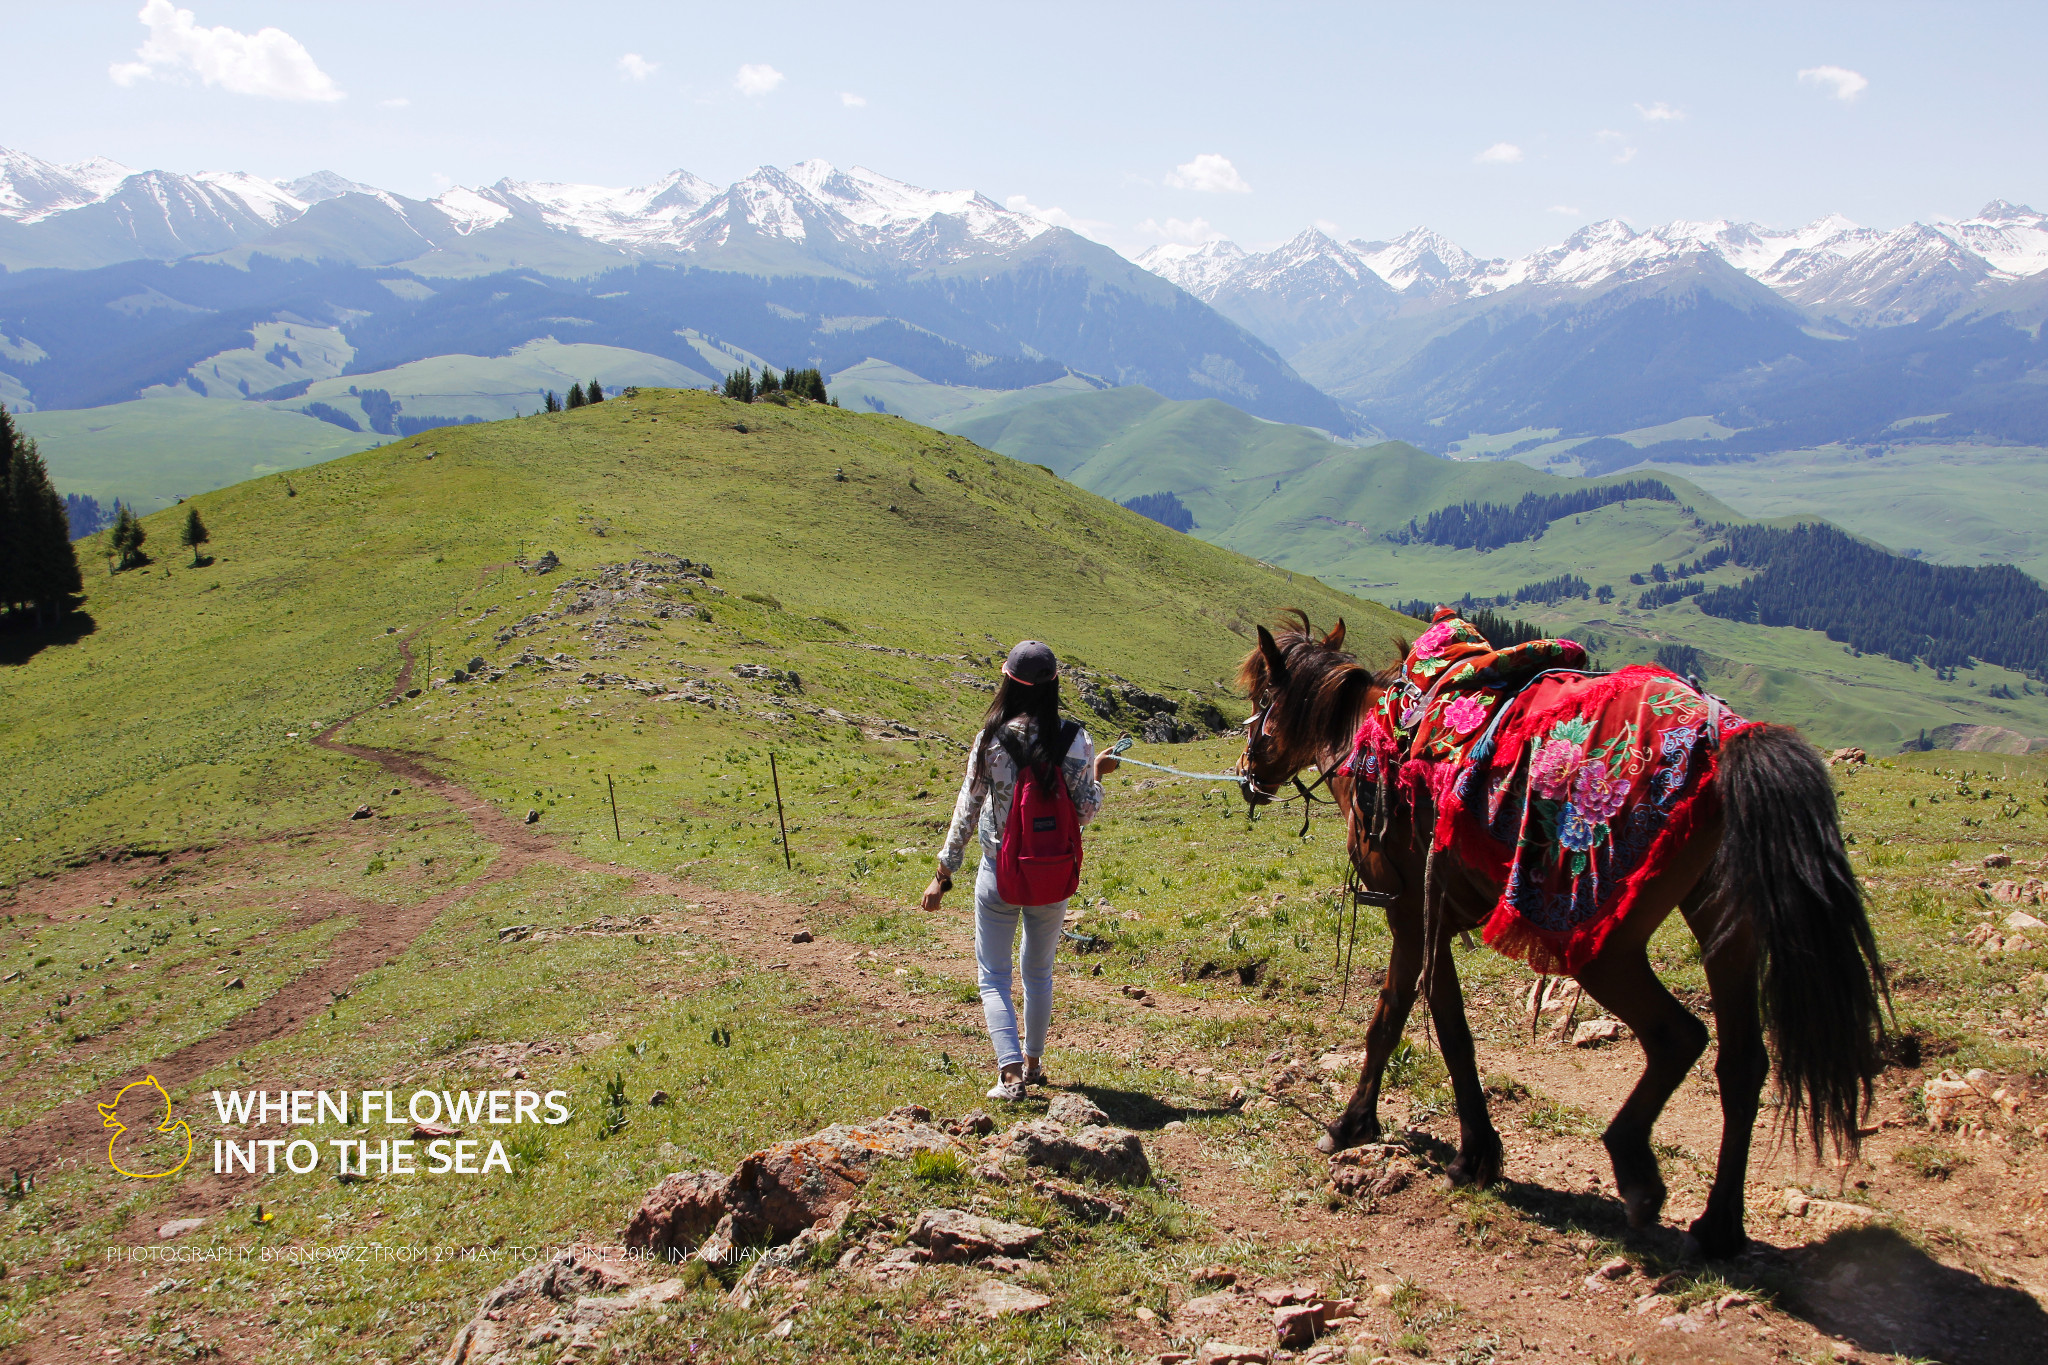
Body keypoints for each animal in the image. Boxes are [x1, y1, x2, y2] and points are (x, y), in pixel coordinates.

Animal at [1228, 613, 1884, 1252]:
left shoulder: (1412, 915)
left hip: (1600, 945)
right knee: (1742, 1062)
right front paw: (1475, 1152)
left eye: (1261, 696)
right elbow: (1445, 1024)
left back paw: (1636, 1172)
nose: (1246, 775)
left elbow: (1403, 1020)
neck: (1372, 740)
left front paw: (1359, 1126)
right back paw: (1719, 1225)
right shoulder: (1436, 919)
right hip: (1727, 930)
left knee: (1678, 1036)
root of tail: (1729, 738)